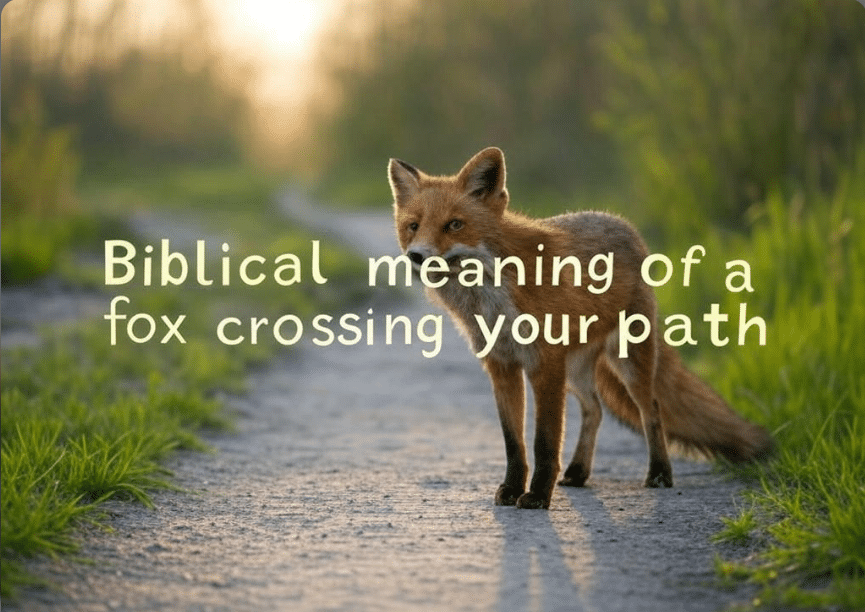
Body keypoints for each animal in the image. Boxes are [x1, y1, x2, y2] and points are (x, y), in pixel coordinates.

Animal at [388, 146, 772, 509]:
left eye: (454, 225)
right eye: (413, 226)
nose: (416, 256)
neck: (491, 295)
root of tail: (622, 223)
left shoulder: (543, 365)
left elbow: (544, 443)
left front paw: (537, 497)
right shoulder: (502, 366)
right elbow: (514, 444)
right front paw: (512, 489)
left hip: (626, 363)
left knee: (652, 410)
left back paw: (660, 474)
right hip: (574, 372)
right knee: (595, 409)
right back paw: (578, 472)